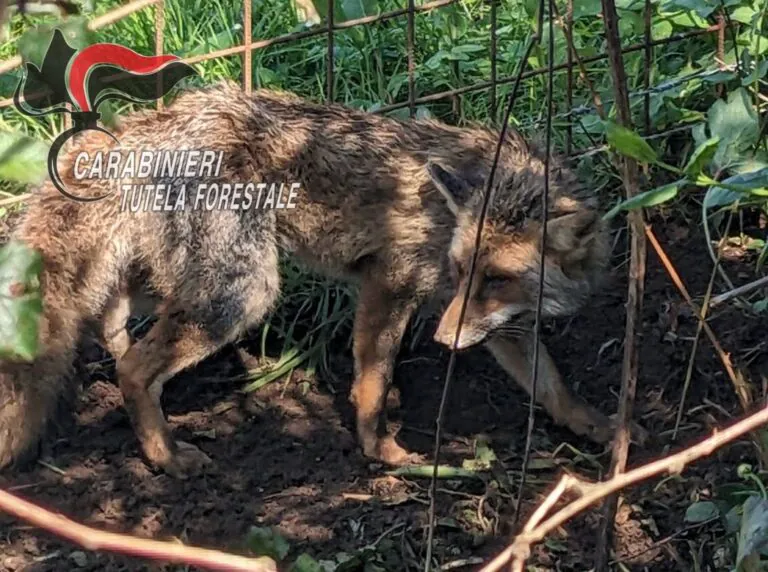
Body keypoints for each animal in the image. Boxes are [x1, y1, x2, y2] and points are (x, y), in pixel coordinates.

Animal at [0, 81, 635, 479]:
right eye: (460, 269)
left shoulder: (494, 320)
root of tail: (170, 115)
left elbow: (551, 385)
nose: (443, 340)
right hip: (242, 293)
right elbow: (372, 385)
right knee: (133, 369)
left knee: (109, 320)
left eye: (497, 279)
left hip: (170, 280)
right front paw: (380, 450)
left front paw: (601, 430)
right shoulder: (391, 281)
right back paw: (166, 459)